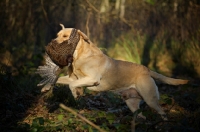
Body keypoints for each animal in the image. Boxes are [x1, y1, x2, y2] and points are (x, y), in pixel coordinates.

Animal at [37, 24, 189, 122]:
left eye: (65, 36)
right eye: (57, 35)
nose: (50, 44)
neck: (79, 56)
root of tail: (146, 70)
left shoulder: (92, 79)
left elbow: (72, 85)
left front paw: (76, 93)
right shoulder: (72, 78)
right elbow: (60, 80)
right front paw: (46, 87)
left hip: (150, 99)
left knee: (162, 112)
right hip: (132, 103)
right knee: (142, 116)